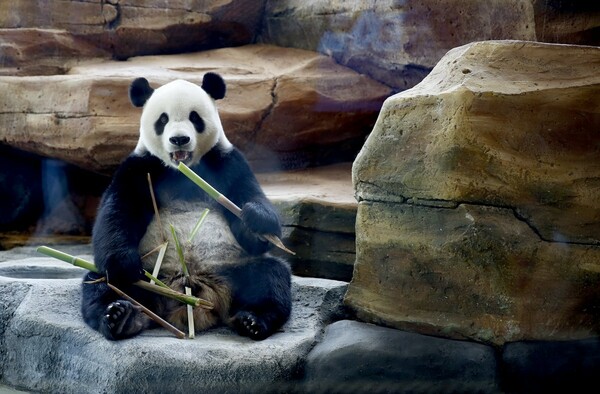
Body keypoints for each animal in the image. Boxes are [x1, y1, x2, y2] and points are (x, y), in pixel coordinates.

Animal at [82, 72, 292, 340]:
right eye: (163, 120)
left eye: (195, 117)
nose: (179, 139)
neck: (184, 170)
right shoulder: (140, 168)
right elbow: (118, 211)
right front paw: (124, 264)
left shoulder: (227, 164)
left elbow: (250, 205)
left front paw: (256, 218)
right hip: (150, 276)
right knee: (101, 285)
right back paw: (121, 317)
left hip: (232, 270)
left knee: (271, 277)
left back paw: (252, 321)